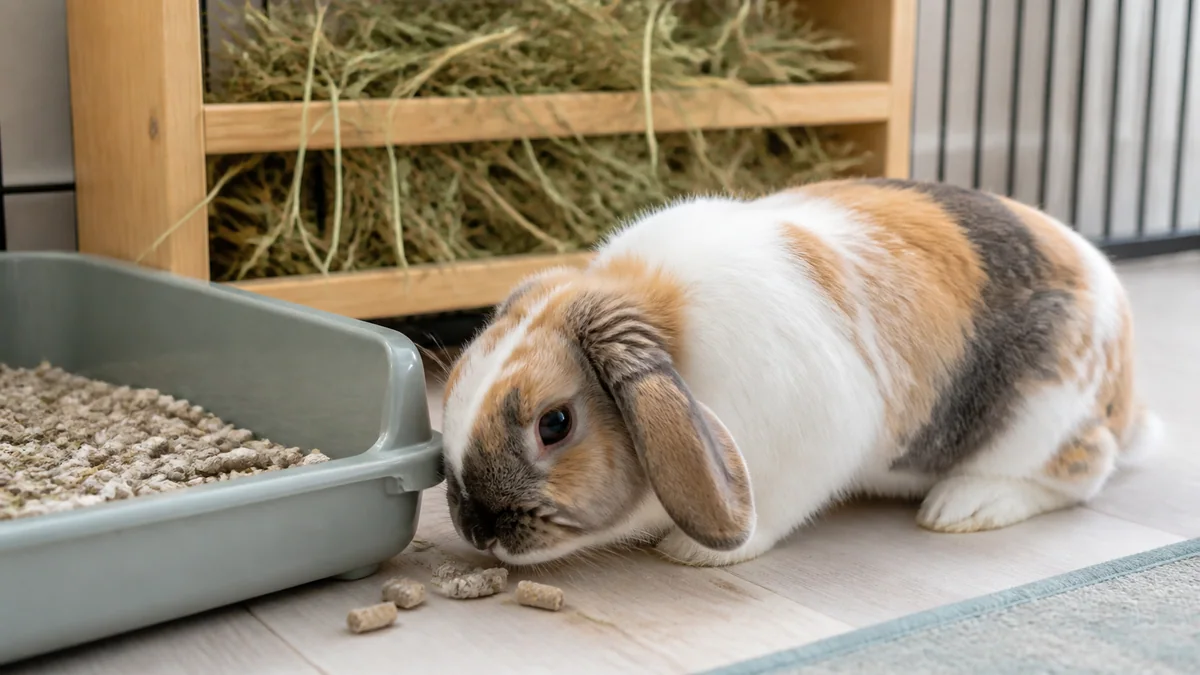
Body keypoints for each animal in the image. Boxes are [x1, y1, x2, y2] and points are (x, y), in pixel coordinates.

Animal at [439, 178, 1163, 568]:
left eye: (554, 424)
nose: (476, 525)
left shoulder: (811, 447)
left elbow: (773, 511)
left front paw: (693, 552)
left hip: (1043, 416)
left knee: (1084, 468)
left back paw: (965, 505)